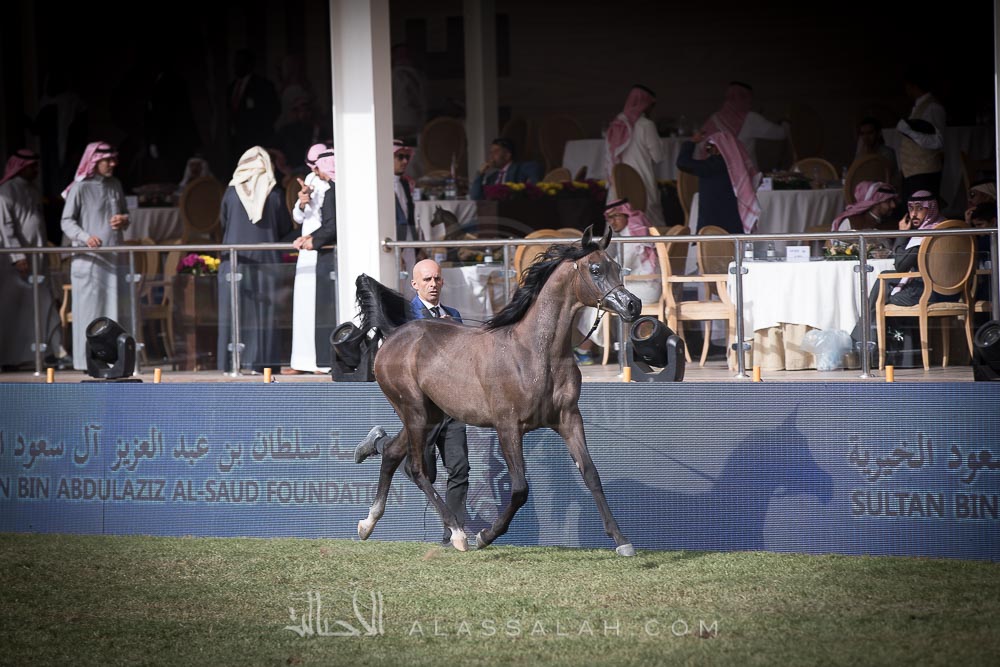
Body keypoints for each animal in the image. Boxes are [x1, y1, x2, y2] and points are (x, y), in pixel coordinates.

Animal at [355, 225, 643, 556]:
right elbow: (519, 488)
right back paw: (457, 533)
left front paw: (622, 541)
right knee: (416, 468)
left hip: (430, 415)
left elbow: (591, 474)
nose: (633, 305)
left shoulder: (569, 419)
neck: (536, 353)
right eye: (595, 269)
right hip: (414, 412)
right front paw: (485, 535)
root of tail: (394, 335)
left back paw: (367, 523)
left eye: (617, 267)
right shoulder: (507, 426)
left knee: (391, 453)